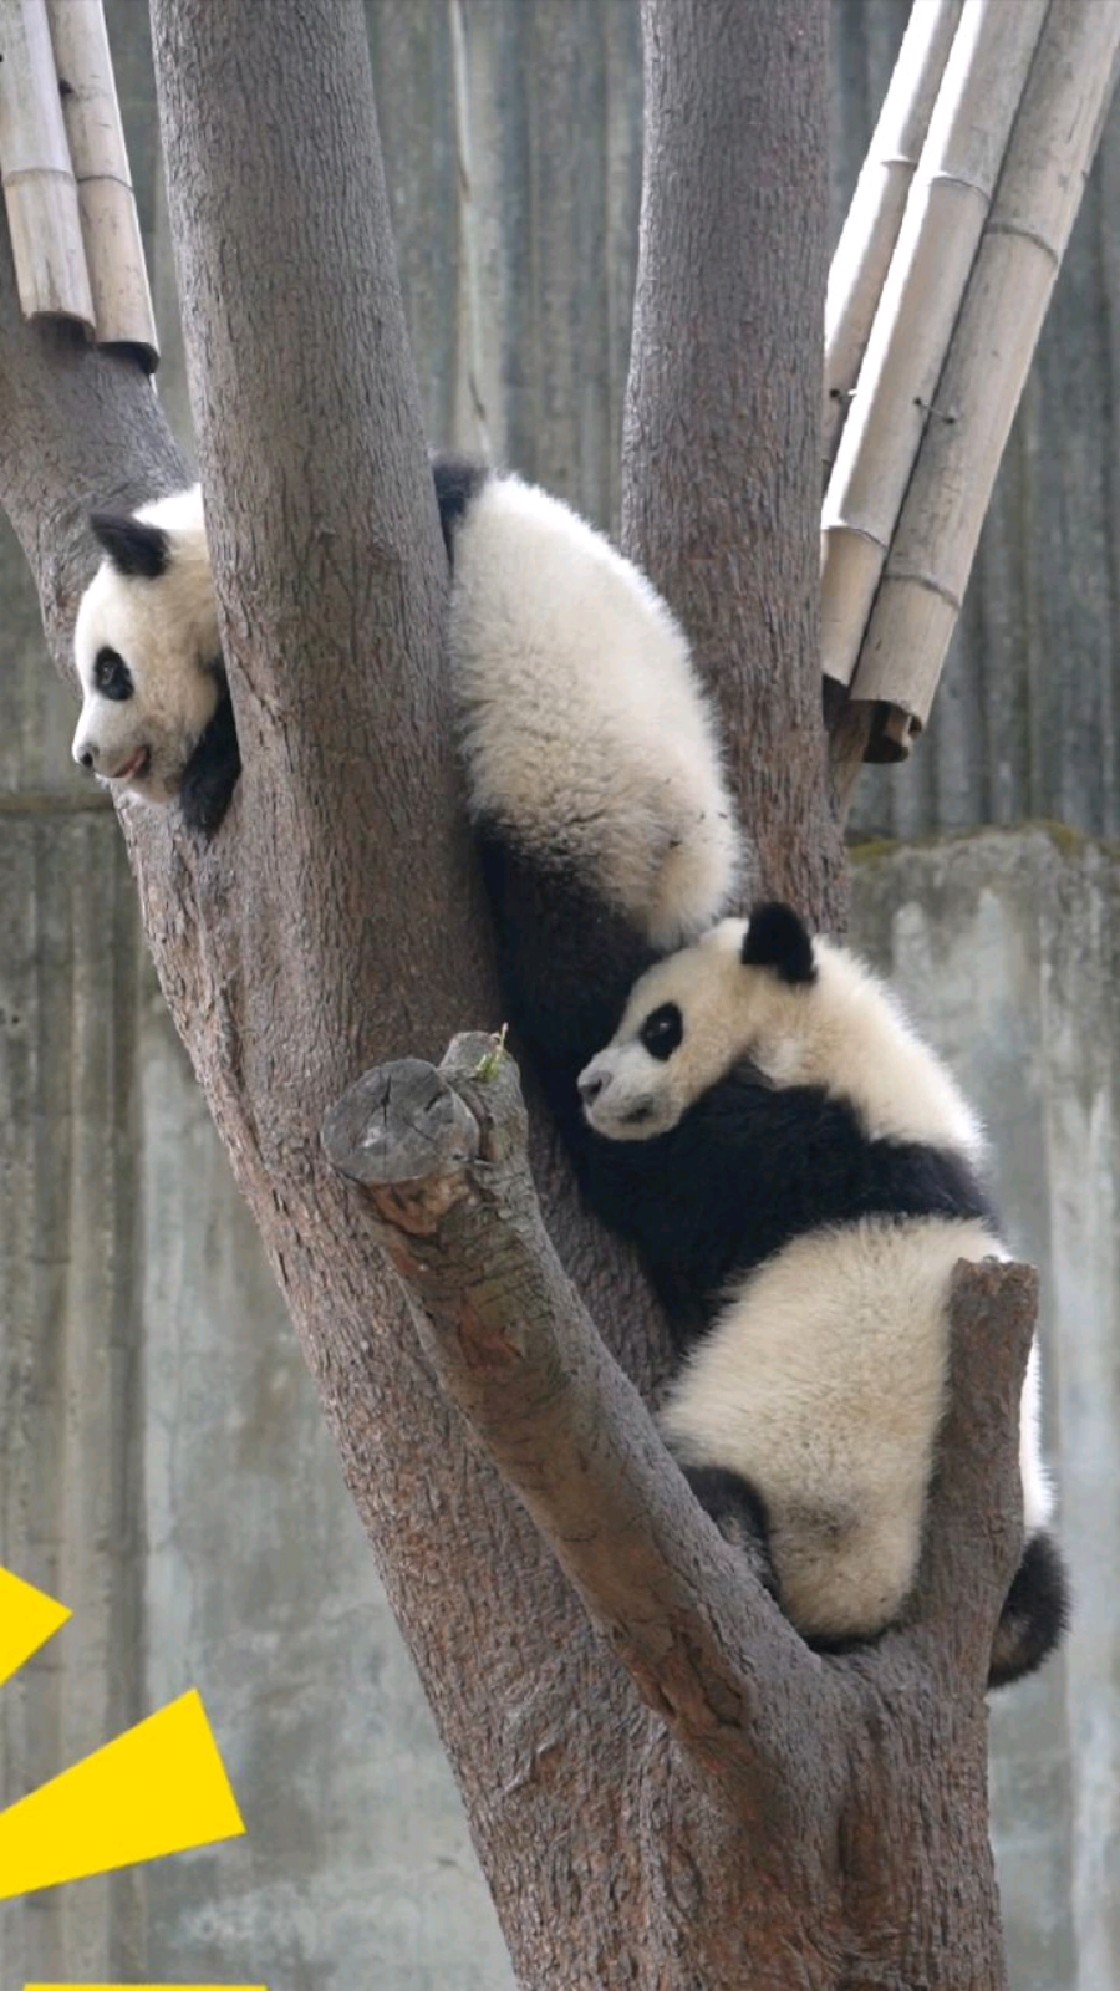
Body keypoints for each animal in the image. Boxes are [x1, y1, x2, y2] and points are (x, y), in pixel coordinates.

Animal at [68, 451, 736, 1099]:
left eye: (109, 672)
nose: (85, 755)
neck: (219, 556)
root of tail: (688, 858)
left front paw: (205, 779)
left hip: (576, 792)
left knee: (567, 977)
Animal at [576, 903, 1066, 1696]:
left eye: (660, 1027)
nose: (591, 1085)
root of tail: (854, 1604)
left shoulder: (779, 1144)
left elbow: (646, 1175)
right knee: (1041, 1610)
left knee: (712, 1503)